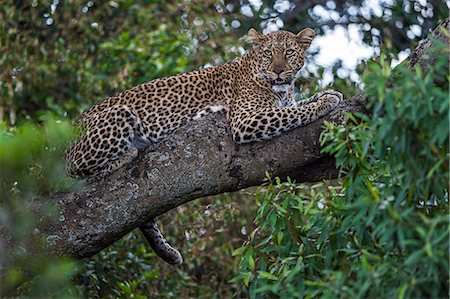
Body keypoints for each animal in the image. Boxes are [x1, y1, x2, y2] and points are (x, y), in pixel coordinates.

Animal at [65, 28, 342, 266]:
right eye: (267, 54)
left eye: (288, 52)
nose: (277, 72)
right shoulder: (245, 120)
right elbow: (294, 113)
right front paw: (324, 103)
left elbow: (295, 106)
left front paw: (330, 94)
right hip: (117, 116)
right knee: (77, 172)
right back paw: (127, 154)